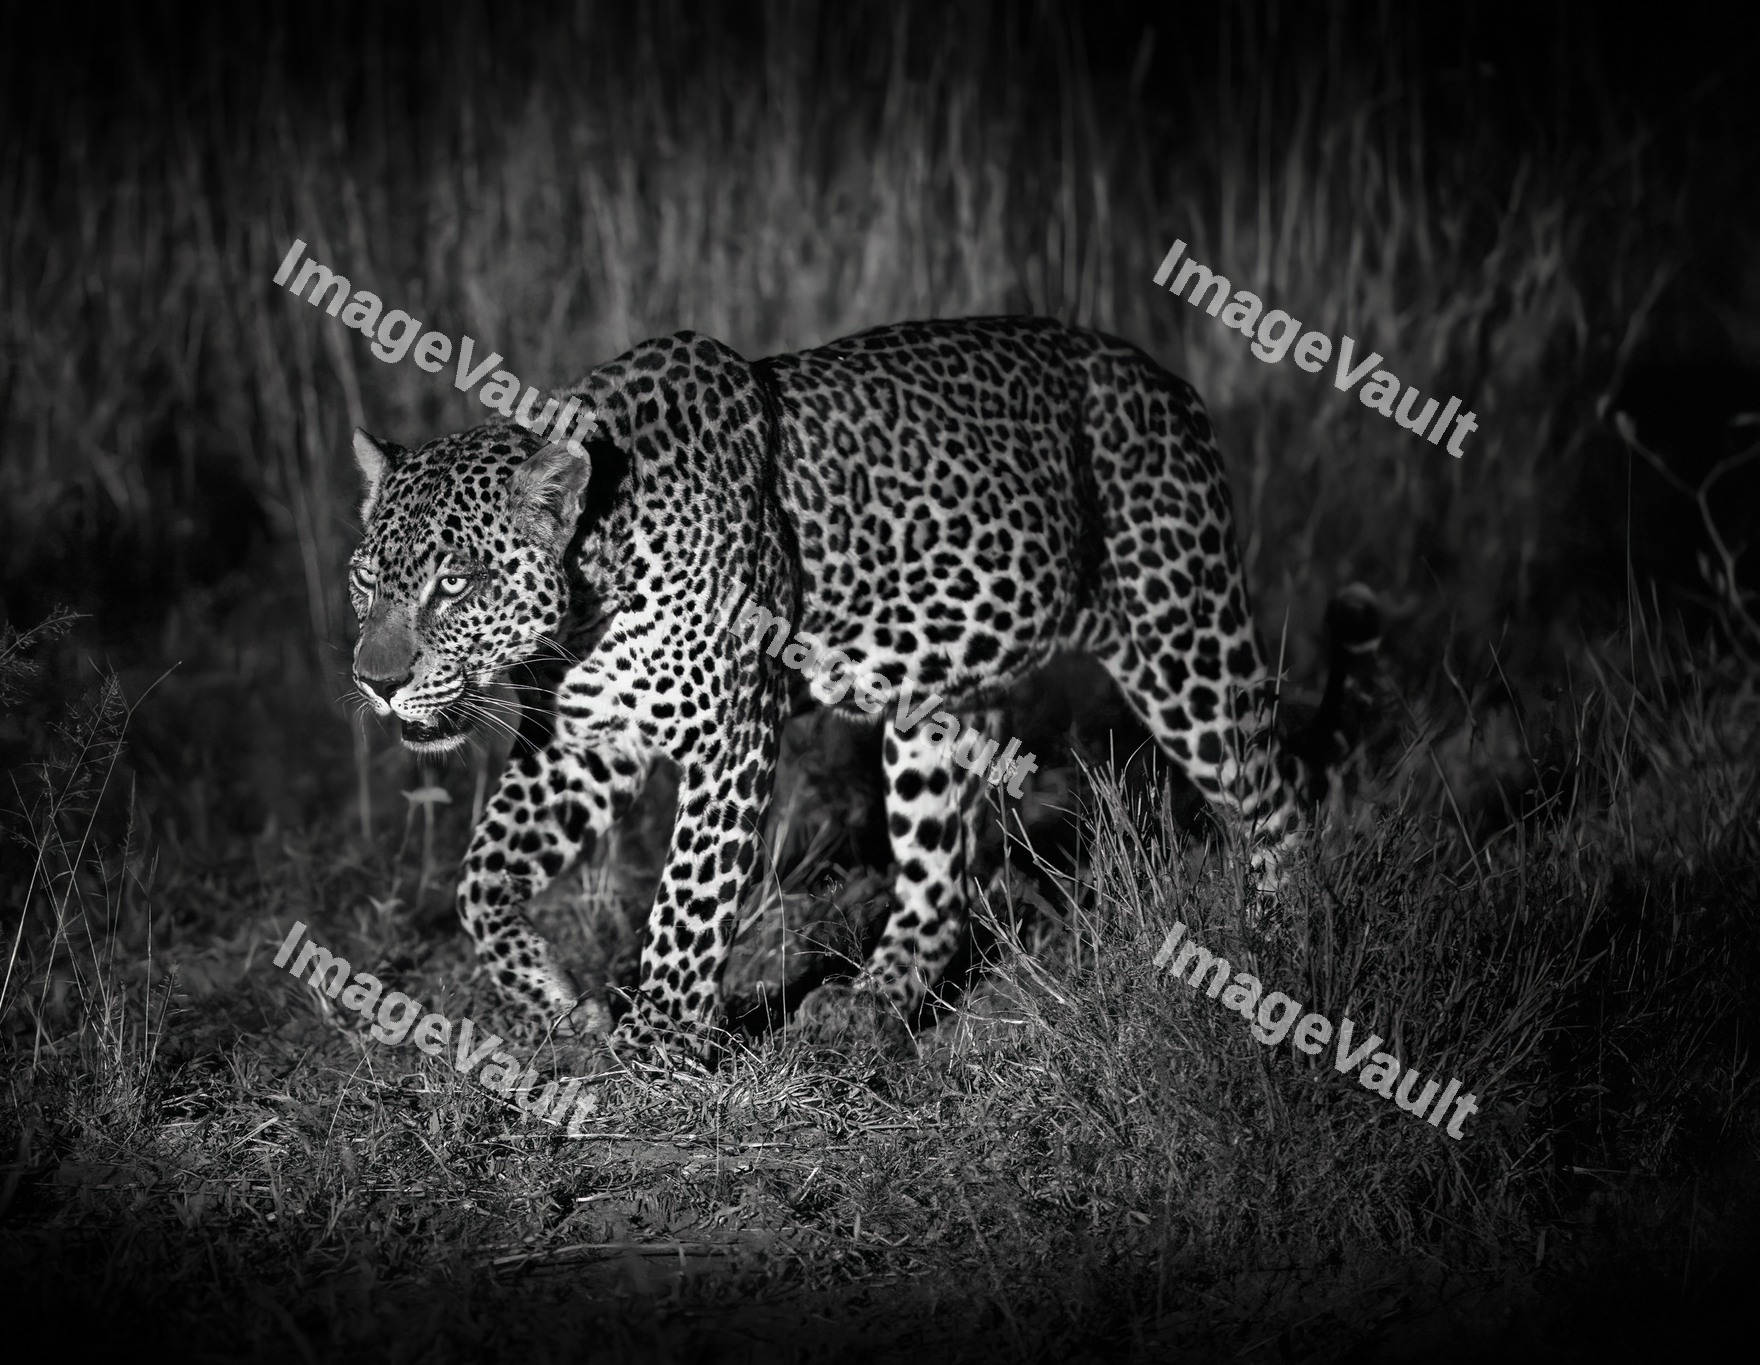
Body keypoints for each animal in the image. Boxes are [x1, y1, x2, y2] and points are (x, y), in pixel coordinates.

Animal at [346, 316, 1380, 1061]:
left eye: (454, 582)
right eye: (365, 580)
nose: (375, 681)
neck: (591, 584)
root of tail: (1173, 384)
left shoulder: (729, 734)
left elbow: (687, 900)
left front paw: (655, 1043)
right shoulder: (586, 742)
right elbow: (480, 878)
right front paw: (557, 1009)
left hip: (1180, 635)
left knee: (1277, 792)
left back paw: (1281, 953)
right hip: (932, 710)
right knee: (939, 887)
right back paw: (869, 1007)